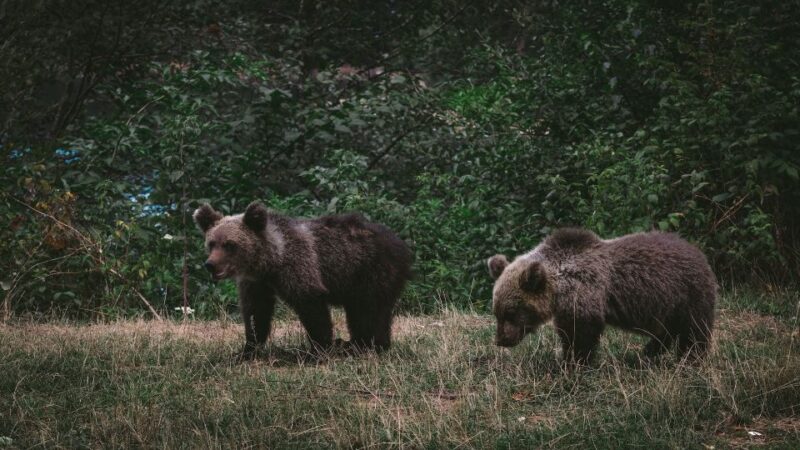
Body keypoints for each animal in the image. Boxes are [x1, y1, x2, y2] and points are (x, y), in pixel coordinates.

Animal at [193, 201, 412, 360]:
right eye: (211, 243)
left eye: (230, 244)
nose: (210, 264)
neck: (271, 260)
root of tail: (401, 243)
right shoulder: (257, 283)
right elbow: (256, 313)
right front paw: (246, 350)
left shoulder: (299, 267)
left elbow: (312, 307)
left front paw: (318, 350)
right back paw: (359, 344)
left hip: (371, 271)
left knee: (368, 310)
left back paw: (364, 345)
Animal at [487, 228, 717, 365]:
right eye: (496, 312)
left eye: (511, 312)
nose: (500, 340)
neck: (559, 286)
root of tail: (698, 252)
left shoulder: (585, 293)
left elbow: (580, 334)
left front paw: (573, 362)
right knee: (666, 331)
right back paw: (648, 352)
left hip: (687, 295)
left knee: (693, 331)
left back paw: (689, 359)